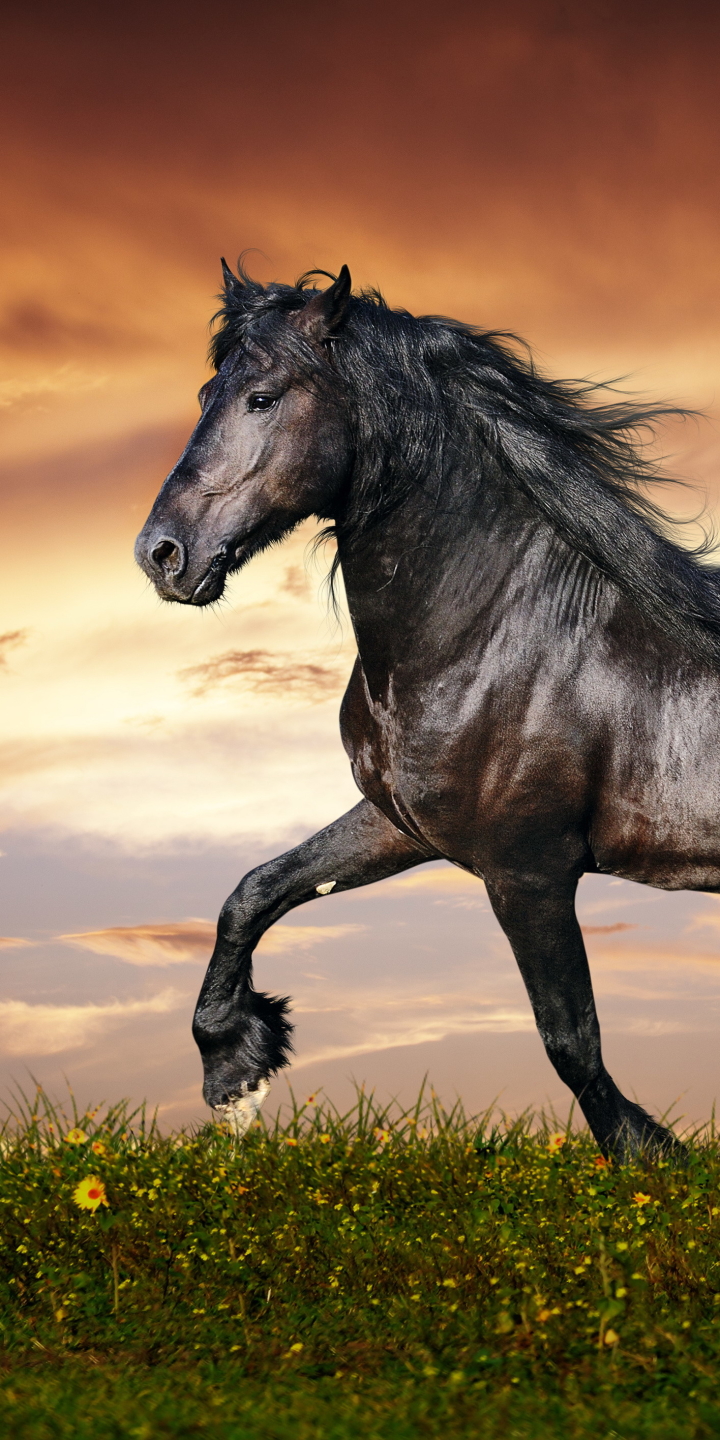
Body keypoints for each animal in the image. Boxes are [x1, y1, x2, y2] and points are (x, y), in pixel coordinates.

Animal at [136, 260, 720, 1157]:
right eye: (207, 393)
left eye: (262, 397)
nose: (162, 554)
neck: (497, 635)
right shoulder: (401, 825)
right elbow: (254, 891)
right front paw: (235, 1069)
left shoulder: (529, 871)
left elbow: (570, 1040)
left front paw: (650, 1155)